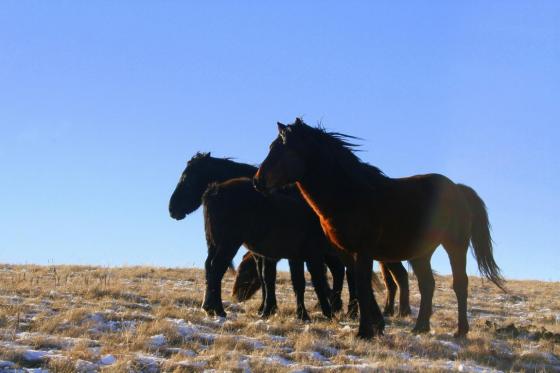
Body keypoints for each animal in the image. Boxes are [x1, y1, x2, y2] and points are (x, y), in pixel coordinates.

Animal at [168, 153, 410, 318]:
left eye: (187, 178)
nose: (172, 209)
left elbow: (284, 279)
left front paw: (276, 309)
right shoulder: (273, 253)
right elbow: (269, 278)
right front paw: (268, 308)